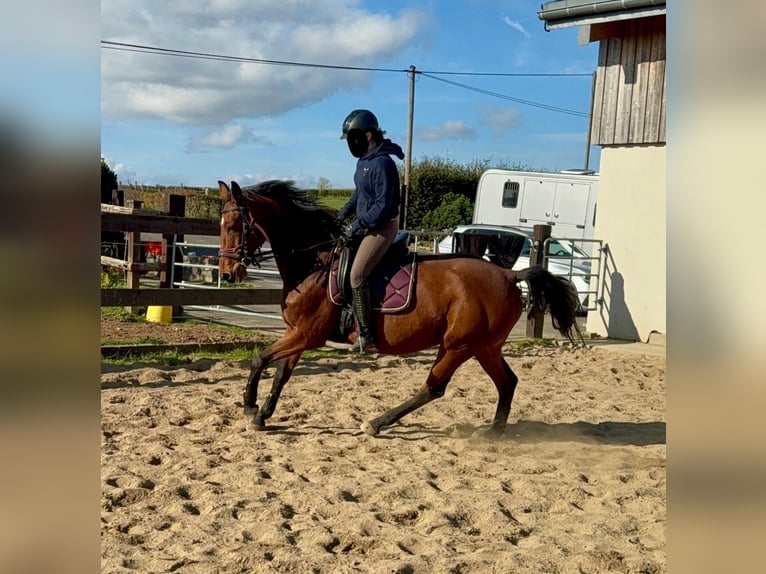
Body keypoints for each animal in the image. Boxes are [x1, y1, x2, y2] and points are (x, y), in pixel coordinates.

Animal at [217, 179, 582, 437]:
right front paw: (263, 415)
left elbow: (259, 359)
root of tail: (509, 274)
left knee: (434, 387)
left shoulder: (307, 334)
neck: (312, 262)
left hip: (458, 346)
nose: (228, 273)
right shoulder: (297, 334)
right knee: (507, 382)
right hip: (484, 347)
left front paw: (249, 406)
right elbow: (281, 372)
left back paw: (377, 423)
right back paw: (493, 431)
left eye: (233, 227)